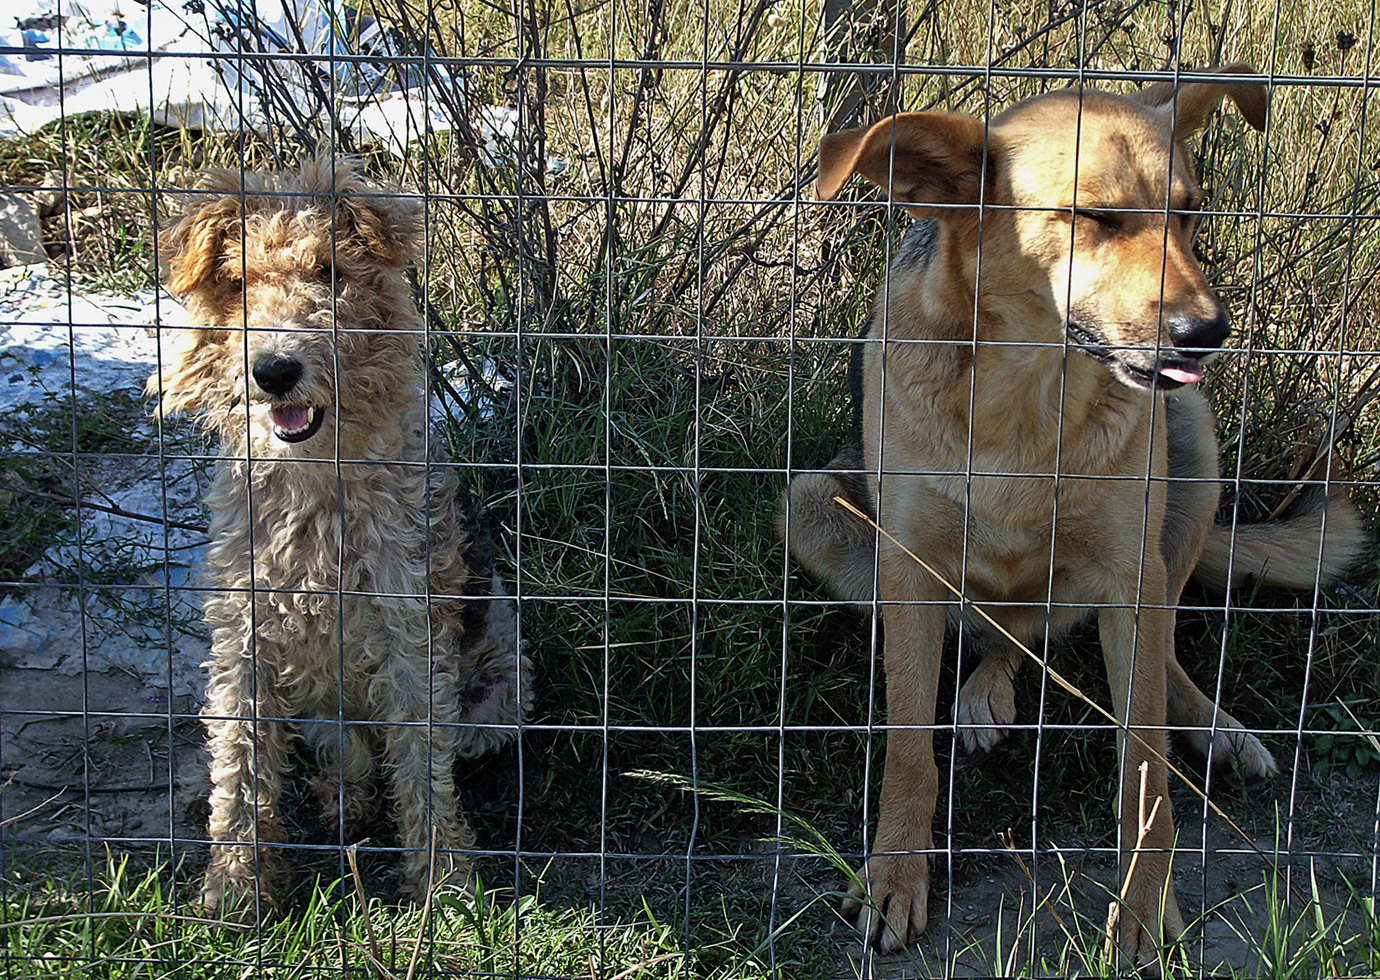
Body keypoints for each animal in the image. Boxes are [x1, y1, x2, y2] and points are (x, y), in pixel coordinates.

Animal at [151, 155, 527, 910]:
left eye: (330, 273)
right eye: (238, 283)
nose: (274, 370)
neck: (315, 489)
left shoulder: (412, 639)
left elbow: (422, 770)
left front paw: (444, 884)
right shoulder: (242, 640)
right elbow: (239, 773)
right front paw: (233, 892)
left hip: (498, 700)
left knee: (403, 750)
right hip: (319, 705)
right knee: (345, 753)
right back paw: (338, 799)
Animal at [783, 65, 1363, 966]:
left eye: (1190, 211)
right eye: (1094, 216)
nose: (1210, 331)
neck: (1032, 390)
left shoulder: (1130, 577)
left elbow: (1146, 774)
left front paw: (1142, 909)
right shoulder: (907, 567)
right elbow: (909, 748)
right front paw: (896, 877)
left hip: (1193, 451)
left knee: (1127, 647)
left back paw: (1213, 725)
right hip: (811, 503)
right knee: (1002, 636)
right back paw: (985, 694)